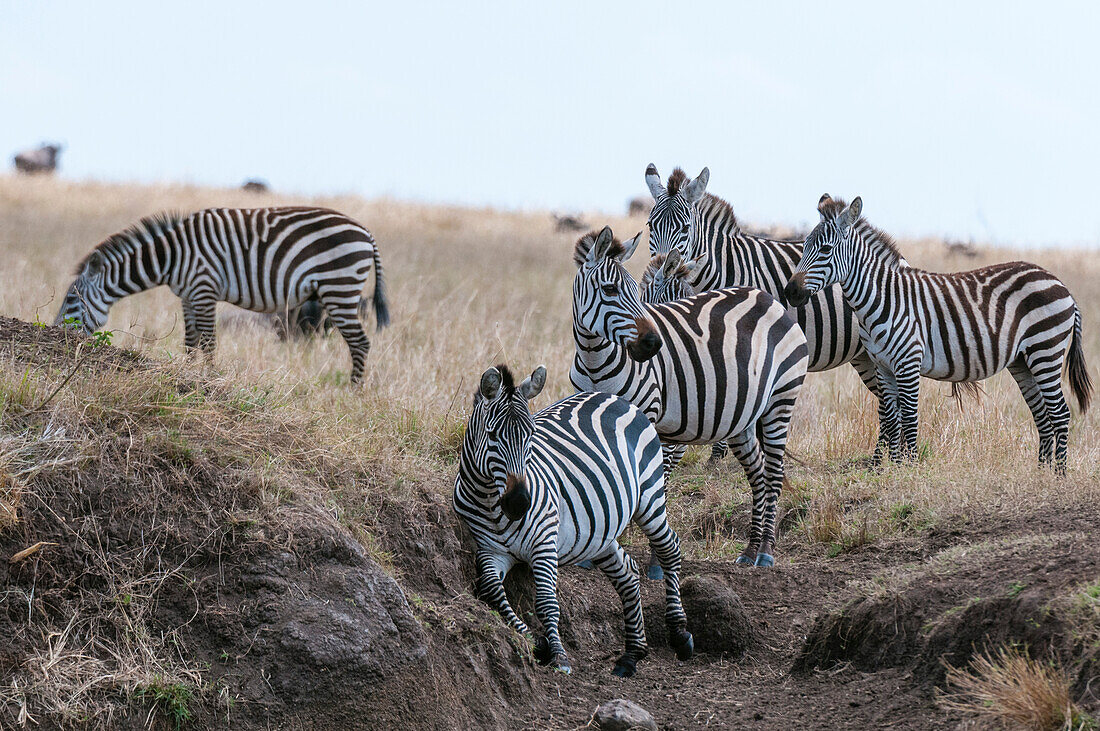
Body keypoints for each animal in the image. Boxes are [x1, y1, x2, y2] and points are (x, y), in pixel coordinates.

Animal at [56, 205, 391, 382]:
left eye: (71, 300)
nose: (57, 333)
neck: (172, 257)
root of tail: (366, 232)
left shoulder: (204, 288)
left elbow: (208, 342)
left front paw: (209, 378)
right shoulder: (188, 295)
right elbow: (190, 342)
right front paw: (189, 374)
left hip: (339, 286)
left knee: (360, 343)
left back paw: (354, 392)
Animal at [451, 362, 690, 677]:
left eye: (530, 435)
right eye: (492, 436)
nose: (520, 503)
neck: (490, 500)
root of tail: (613, 396)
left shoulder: (544, 542)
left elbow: (546, 603)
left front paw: (559, 655)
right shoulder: (490, 550)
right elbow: (491, 590)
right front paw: (537, 643)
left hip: (649, 496)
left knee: (670, 548)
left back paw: (679, 633)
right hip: (599, 530)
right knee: (627, 571)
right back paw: (632, 654)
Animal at [572, 226, 805, 562]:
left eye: (634, 291)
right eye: (610, 289)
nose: (653, 344)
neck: (594, 359)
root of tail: (767, 298)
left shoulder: (649, 415)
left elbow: (647, 476)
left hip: (781, 400)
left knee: (773, 473)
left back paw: (765, 551)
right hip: (743, 418)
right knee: (758, 474)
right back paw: (750, 549)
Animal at [783, 192, 1091, 472]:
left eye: (825, 250)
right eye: (804, 246)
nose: (790, 291)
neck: (883, 298)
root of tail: (1060, 283)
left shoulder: (908, 362)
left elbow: (908, 417)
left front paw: (910, 469)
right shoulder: (882, 365)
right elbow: (891, 418)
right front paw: (894, 471)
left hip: (1045, 349)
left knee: (1060, 413)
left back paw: (1059, 476)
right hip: (1023, 361)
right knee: (1042, 414)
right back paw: (1041, 473)